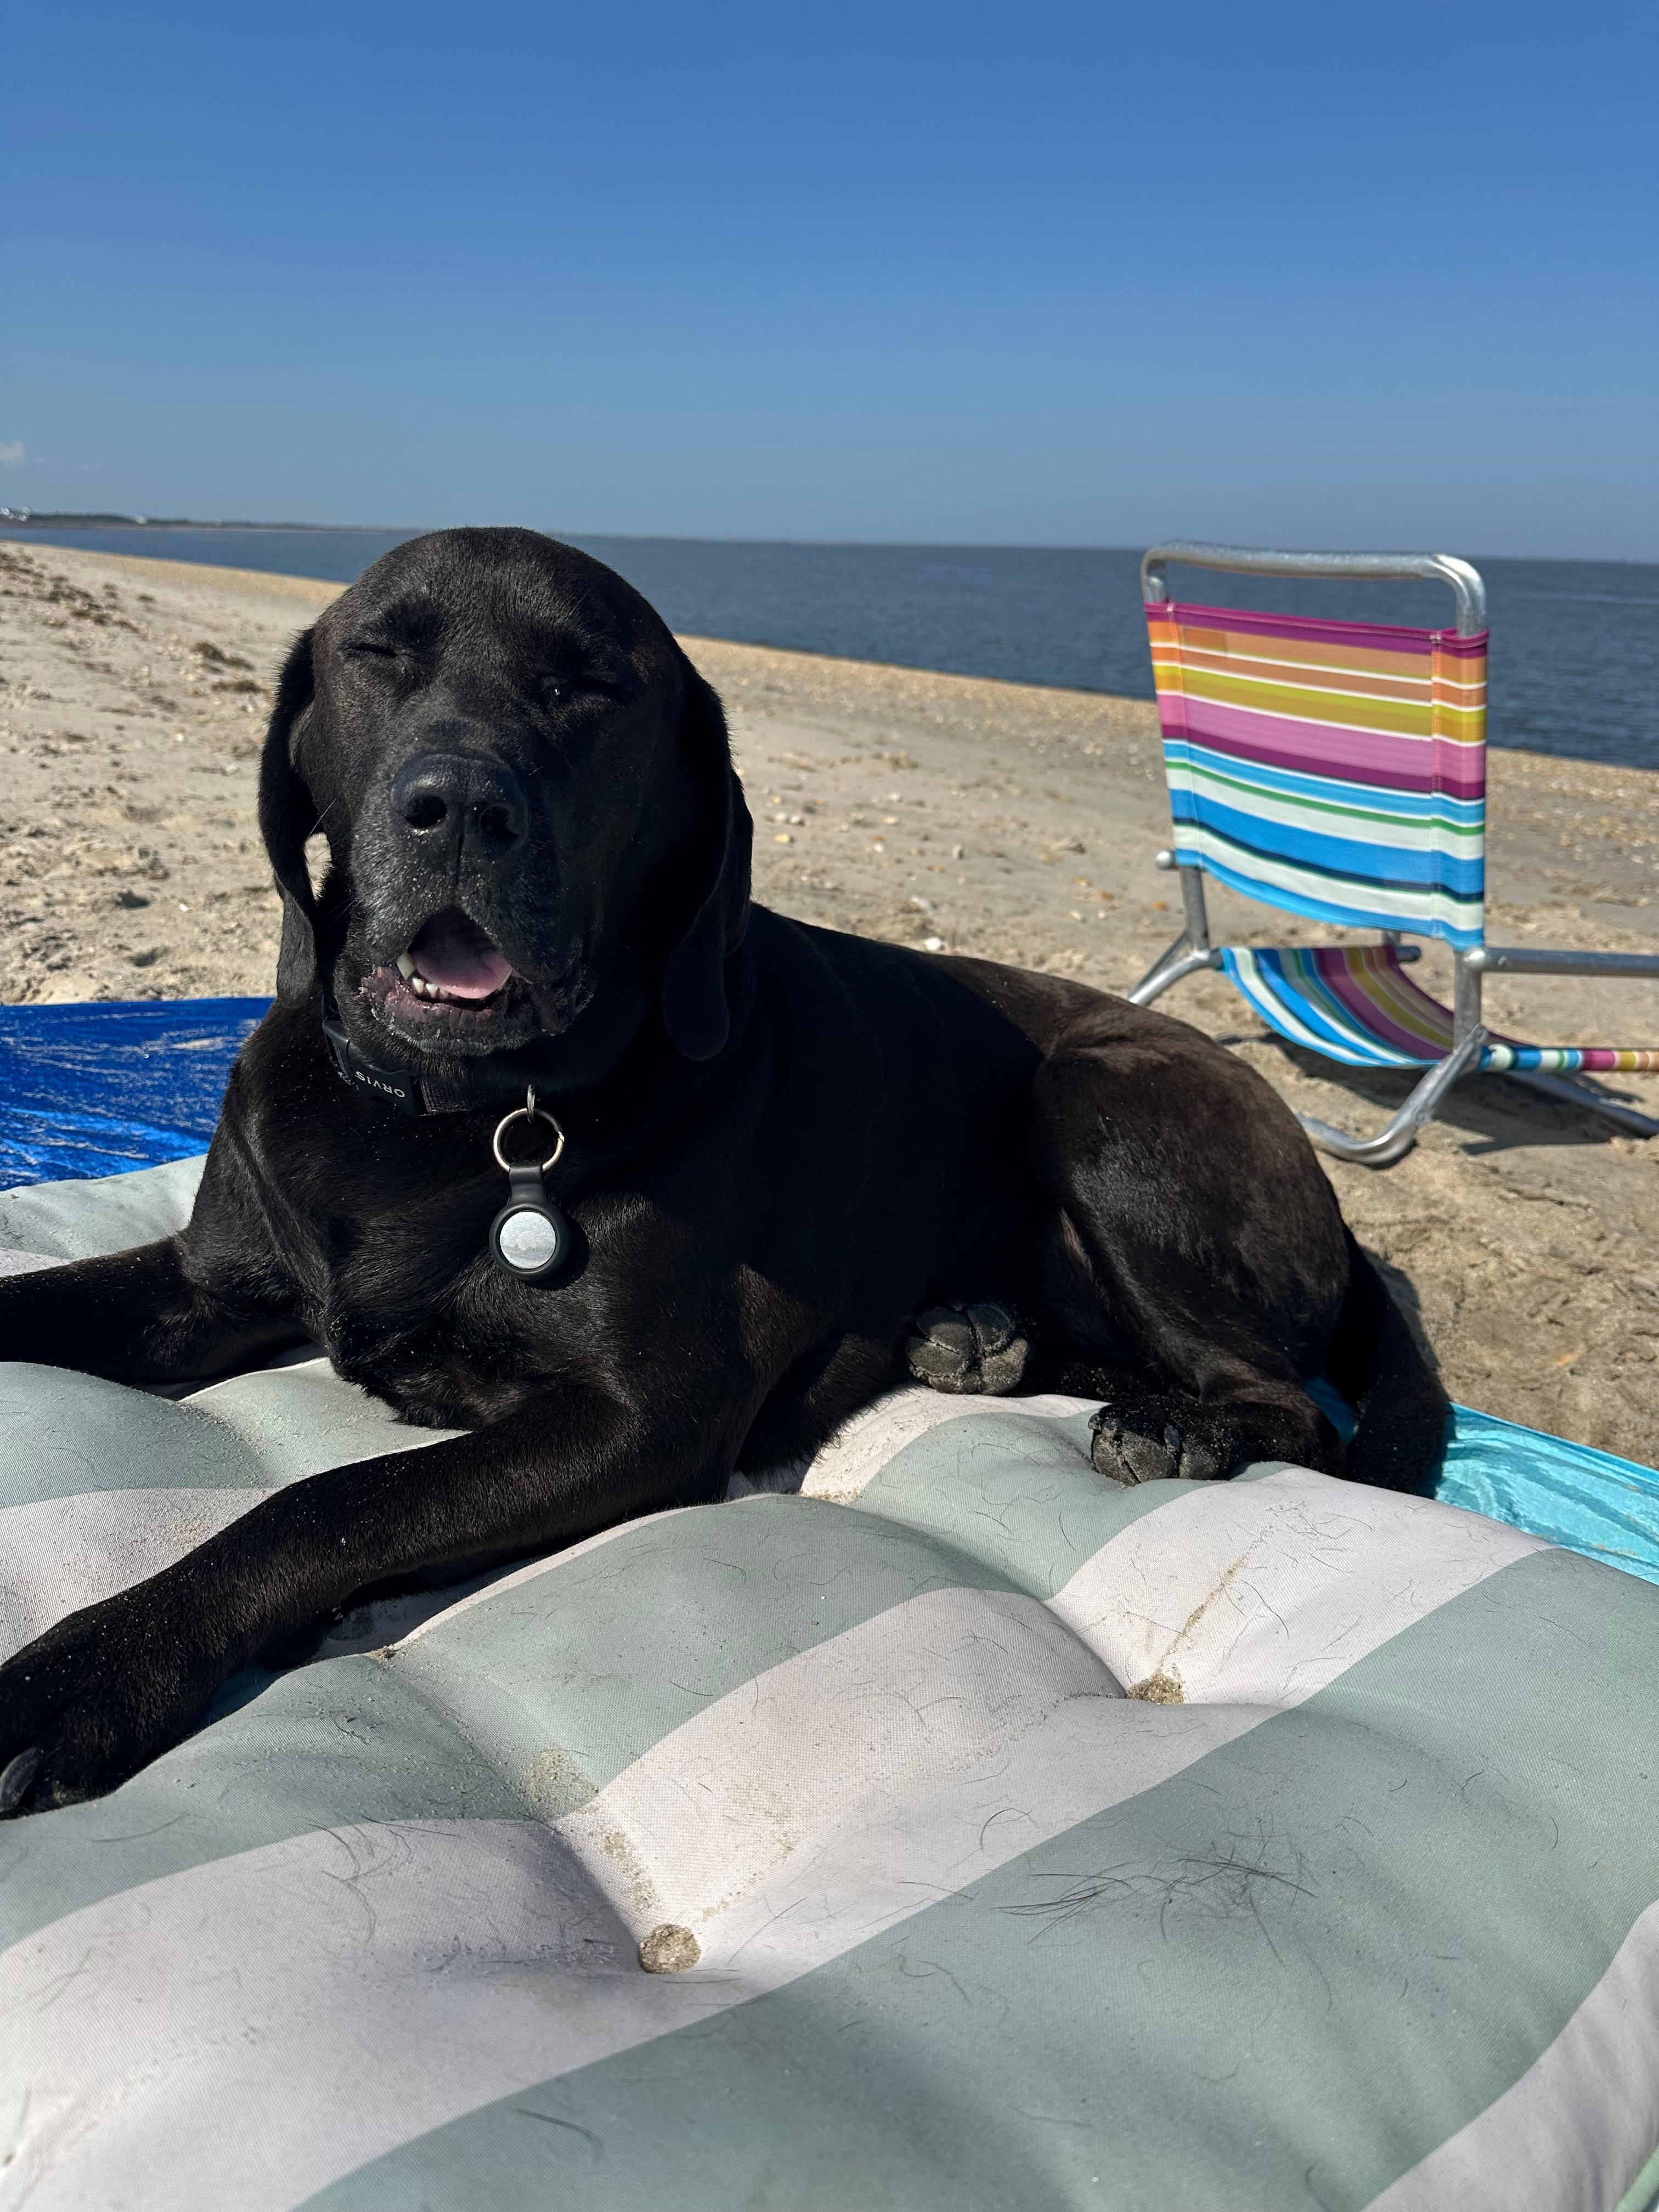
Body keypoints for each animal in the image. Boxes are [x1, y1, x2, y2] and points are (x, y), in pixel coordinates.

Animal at [0, 527, 1446, 1816]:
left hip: (1095, 1101)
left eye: (589, 684)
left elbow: (320, 1504)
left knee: (1288, 1404)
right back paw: (979, 1338)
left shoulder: (645, 1416)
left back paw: (1174, 1421)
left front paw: (88, 1673)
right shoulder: (208, 1284)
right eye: (379, 655)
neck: (457, 1116)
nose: (458, 807)